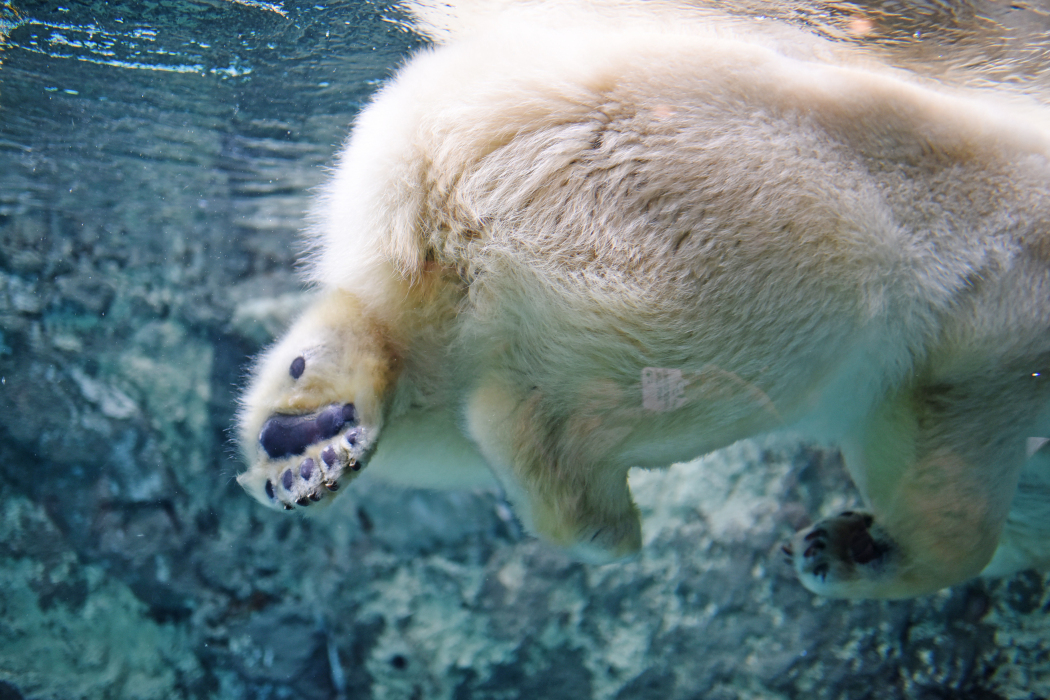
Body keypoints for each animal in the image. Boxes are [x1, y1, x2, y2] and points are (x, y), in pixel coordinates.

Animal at [238, 2, 1050, 600]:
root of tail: (433, 150)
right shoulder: (1004, 315)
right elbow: (958, 481)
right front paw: (850, 548)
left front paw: (843, 537)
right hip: (718, 204)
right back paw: (592, 509)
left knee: (419, 370)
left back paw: (303, 436)